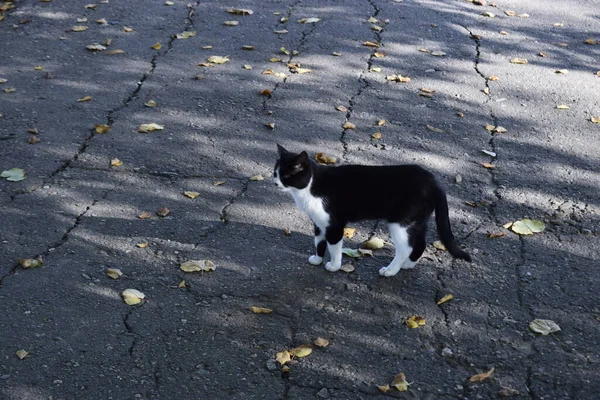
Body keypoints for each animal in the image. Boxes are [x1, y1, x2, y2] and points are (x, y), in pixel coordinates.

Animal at [274, 145, 474, 278]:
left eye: (287, 176)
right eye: (275, 173)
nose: (275, 183)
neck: (310, 187)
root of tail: (434, 182)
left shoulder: (334, 225)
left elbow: (334, 246)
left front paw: (334, 265)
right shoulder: (319, 223)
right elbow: (319, 242)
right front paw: (317, 259)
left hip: (400, 223)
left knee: (405, 247)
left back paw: (391, 270)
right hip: (417, 220)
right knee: (420, 242)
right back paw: (408, 265)